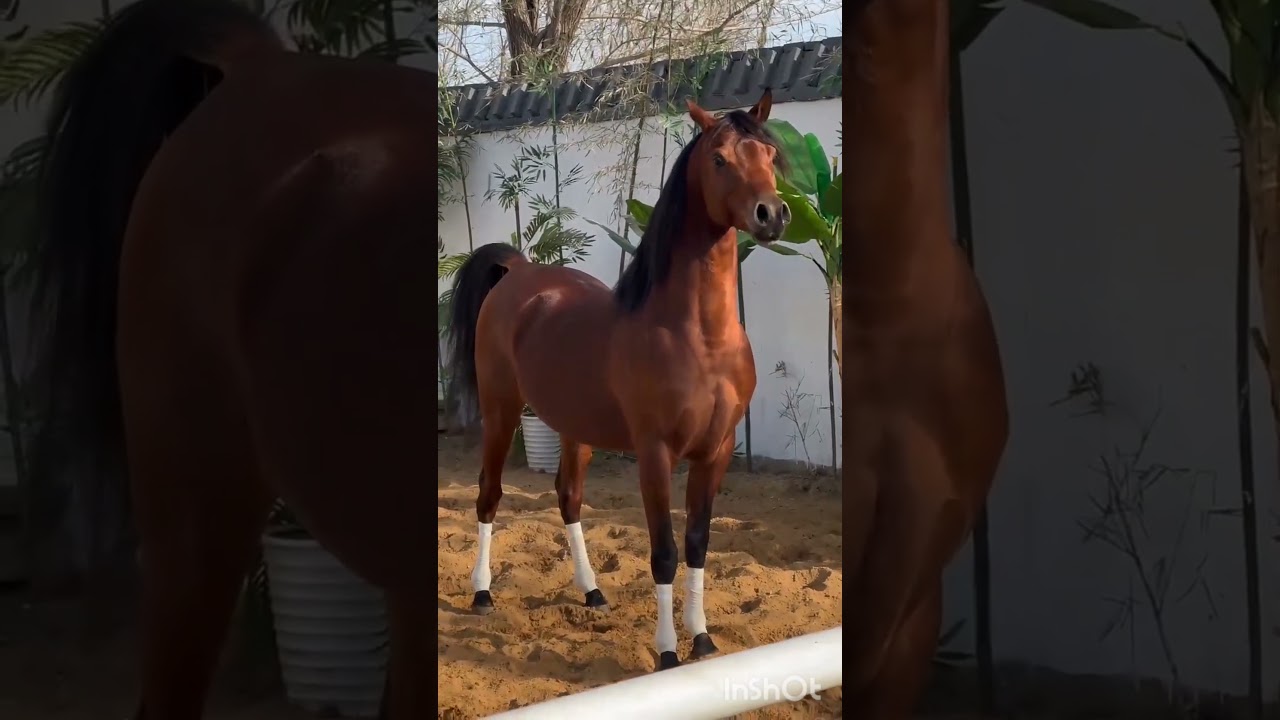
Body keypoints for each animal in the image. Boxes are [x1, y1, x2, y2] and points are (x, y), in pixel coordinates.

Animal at [443, 90, 791, 672]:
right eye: (720, 159)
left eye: (768, 154)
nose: (772, 213)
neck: (700, 337)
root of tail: (520, 271)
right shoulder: (654, 453)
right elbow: (664, 552)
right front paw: (668, 653)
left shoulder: (716, 451)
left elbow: (698, 543)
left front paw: (702, 640)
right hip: (501, 411)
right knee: (489, 495)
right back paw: (483, 592)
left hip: (573, 427)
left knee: (568, 498)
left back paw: (592, 591)